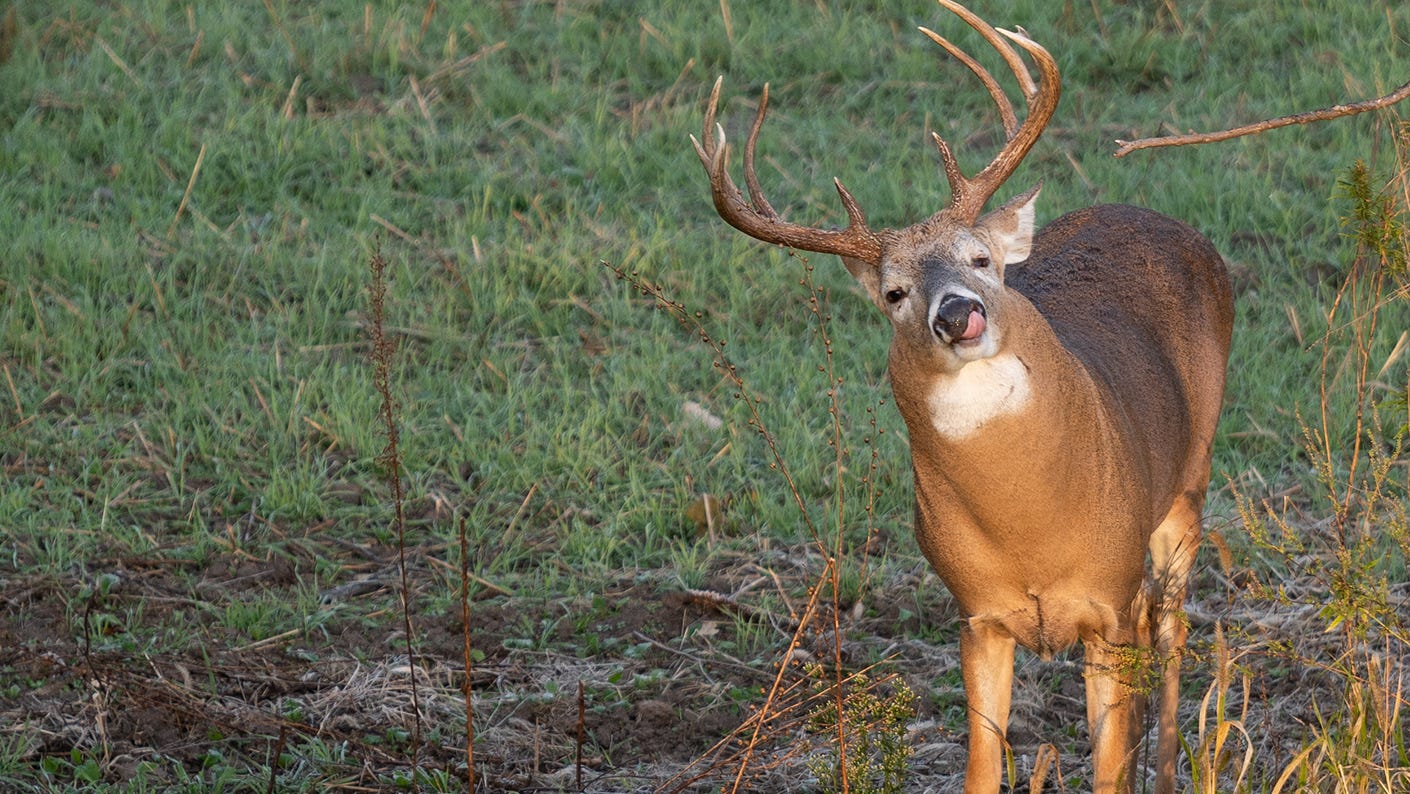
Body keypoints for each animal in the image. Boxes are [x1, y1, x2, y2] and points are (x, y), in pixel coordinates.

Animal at [693, 1, 1235, 794]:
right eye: (893, 293)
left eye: (980, 259)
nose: (957, 314)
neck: (1031, 525)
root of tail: (1166, 221)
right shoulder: (976, 616)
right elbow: (983, 764)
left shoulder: (1109, 603)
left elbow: (1109, 765)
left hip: (1186, 488)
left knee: (1173, 632)